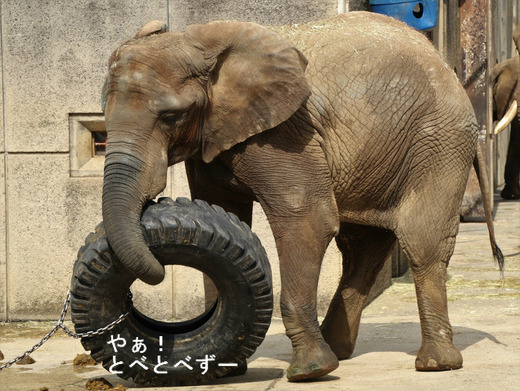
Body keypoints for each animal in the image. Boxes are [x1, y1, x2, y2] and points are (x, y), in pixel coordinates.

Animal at [99, 12, 502, 382]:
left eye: (171, 116)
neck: (196, 42)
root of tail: (450, 71)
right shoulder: (214, 136)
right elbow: (223, 215)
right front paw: (221, 367)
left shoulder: (284, 132)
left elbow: (306, 219)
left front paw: (310, 372)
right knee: (362, 248)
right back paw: (339, 348)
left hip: (438, 141)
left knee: (422, 241)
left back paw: (435, 365)